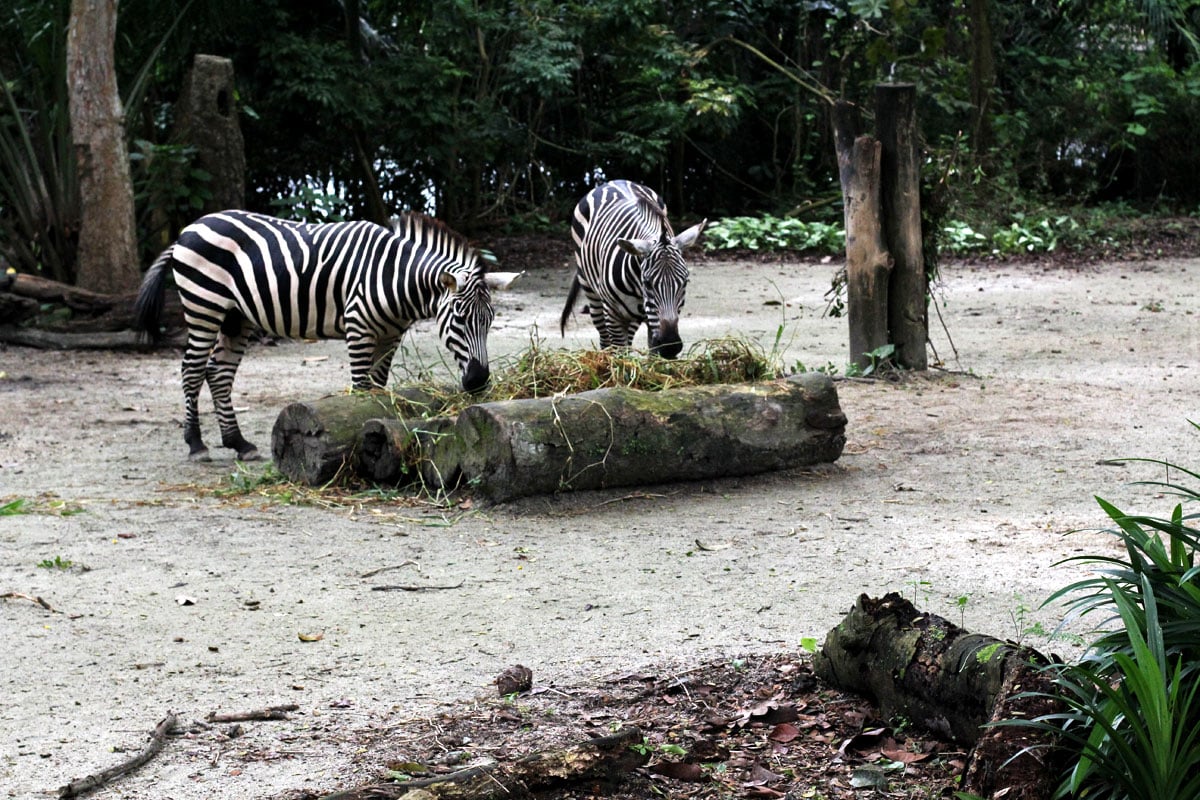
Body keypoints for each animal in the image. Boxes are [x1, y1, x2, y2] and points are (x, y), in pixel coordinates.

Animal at [136, 209, 520, 462]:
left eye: (489, 321)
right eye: (459, 320)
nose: (478, 381)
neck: (395, 279)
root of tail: (189, 228)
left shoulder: (390, 335)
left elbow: (378, 389)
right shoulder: (359, 327)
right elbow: (361, 390)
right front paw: (358, 438)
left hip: (236, 317)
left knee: (218, 373)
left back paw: (238, 443)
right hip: (204, 305)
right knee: (192, 371)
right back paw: (196, 444)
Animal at [559, 181, 700, 359]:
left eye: (684, 282)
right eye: (647, 283)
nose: (670, 347)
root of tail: (614, 181)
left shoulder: (652, 320)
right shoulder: (613, 313)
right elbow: (619, 354)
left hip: (632, 315)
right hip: (592, 292)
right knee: (605, 340)